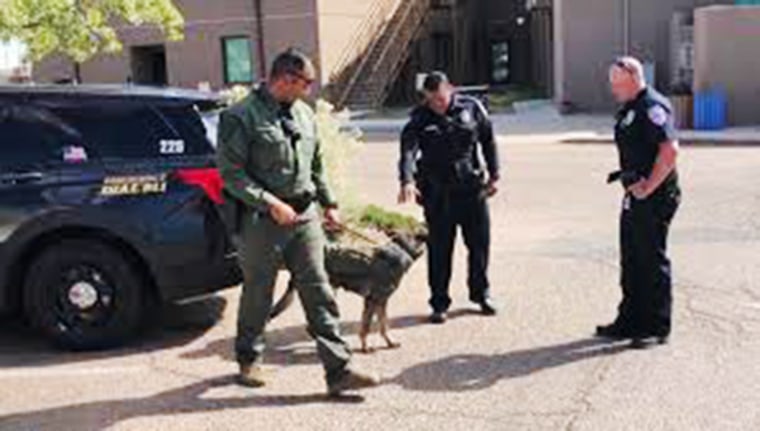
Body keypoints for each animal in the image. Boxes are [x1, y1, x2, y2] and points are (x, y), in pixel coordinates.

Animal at [270, 233, 428, 354]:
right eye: (417, 236)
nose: (425, 234)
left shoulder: (380, 302)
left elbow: (383, 325)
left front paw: (389, 342)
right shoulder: (372, 301)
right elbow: (366, 327)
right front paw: (365, 347)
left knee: (313, 327)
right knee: (314, 326)